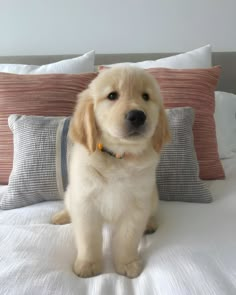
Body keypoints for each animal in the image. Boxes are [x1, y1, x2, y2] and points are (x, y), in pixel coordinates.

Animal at [51, 67, 170, 280]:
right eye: (112, 96)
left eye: (146, 96)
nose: (137, 116)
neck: (118, 157)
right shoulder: (85, 202)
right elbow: (88, 239)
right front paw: (88, 264)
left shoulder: (137, 205)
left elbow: (127, 239)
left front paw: (127, 263)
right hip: (70, 192)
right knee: (69, 205)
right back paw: (62, 216)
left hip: (153, 197)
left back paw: (150, 223)